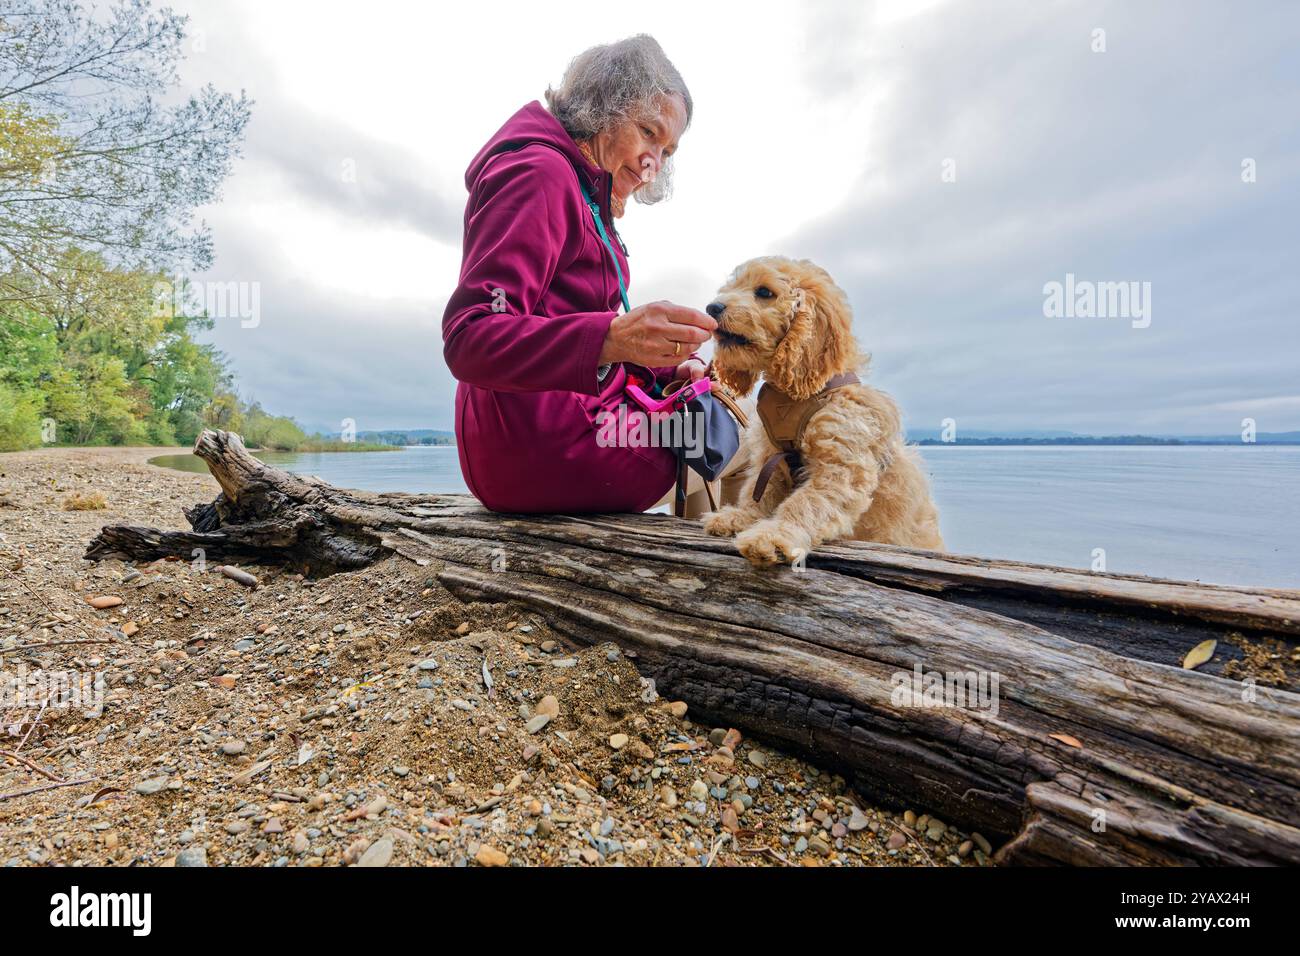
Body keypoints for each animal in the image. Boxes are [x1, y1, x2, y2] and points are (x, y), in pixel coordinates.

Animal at [707, 257, 941, 564]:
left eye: (764, 292)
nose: (712, 308)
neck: (801, 395)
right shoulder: (771, 458)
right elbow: (759, 491)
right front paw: (740, 517)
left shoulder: (839, 468)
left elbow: (805, 503)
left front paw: (773, 536)